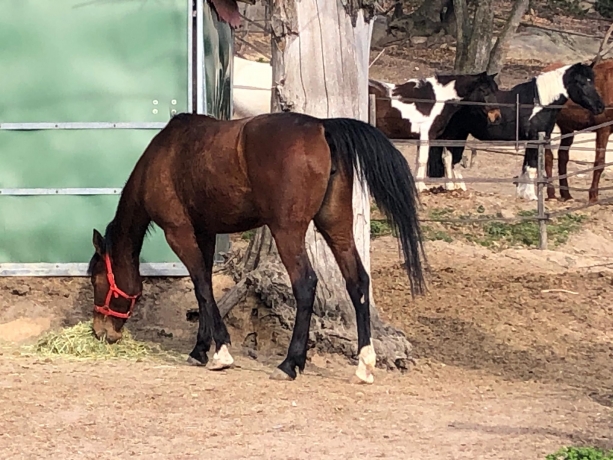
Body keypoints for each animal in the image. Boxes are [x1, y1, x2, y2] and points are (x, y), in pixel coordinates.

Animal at [86, 109, 426, 382]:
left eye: (97, 280)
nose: (101, 331)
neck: (164, 157)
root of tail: (321, 127)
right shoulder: (205, 233)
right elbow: (203, 288)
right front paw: (200, 349)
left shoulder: (178, 232)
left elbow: (202, 286)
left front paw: (220, 352)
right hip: (336, 225)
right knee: (357, 281)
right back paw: (364, 364)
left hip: (287, 231)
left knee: (306, 284)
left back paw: (289, 364)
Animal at [366, 71, 500, 192]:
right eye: (484, 90)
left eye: (496, 90)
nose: (496, 116)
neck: (436, 100)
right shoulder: (427, 136)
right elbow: (423, 160)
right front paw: (421, 187)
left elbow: (428, 159)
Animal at [426, 60, 604, 199]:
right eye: (582, 82)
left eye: (593, 81)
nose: (600, 107)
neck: (538, 104)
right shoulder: (534, 139)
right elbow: (532, 167)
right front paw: (531, 196)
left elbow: (526, 166)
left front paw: (522, 193)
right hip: (454, 133)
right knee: (448, 157)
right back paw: (451, 187)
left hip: (461, 133)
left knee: (453, 159)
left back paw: (460, 188)